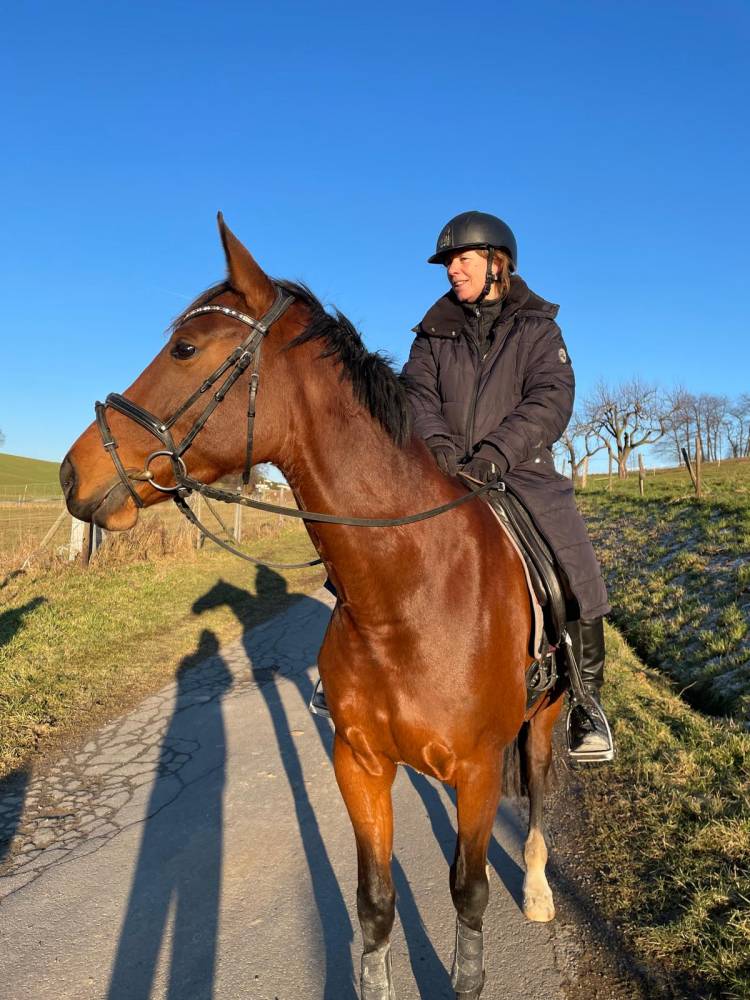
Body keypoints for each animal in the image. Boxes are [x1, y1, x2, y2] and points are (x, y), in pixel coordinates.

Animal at [61, 215, 565, 1000]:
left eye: (183, 348)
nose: (70, 473)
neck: (409, 598)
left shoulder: (481, 770)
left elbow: (469, 894)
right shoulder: (359, 764)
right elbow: (375, 902)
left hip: (545, 716)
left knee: (538, 784)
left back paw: (539, 888)